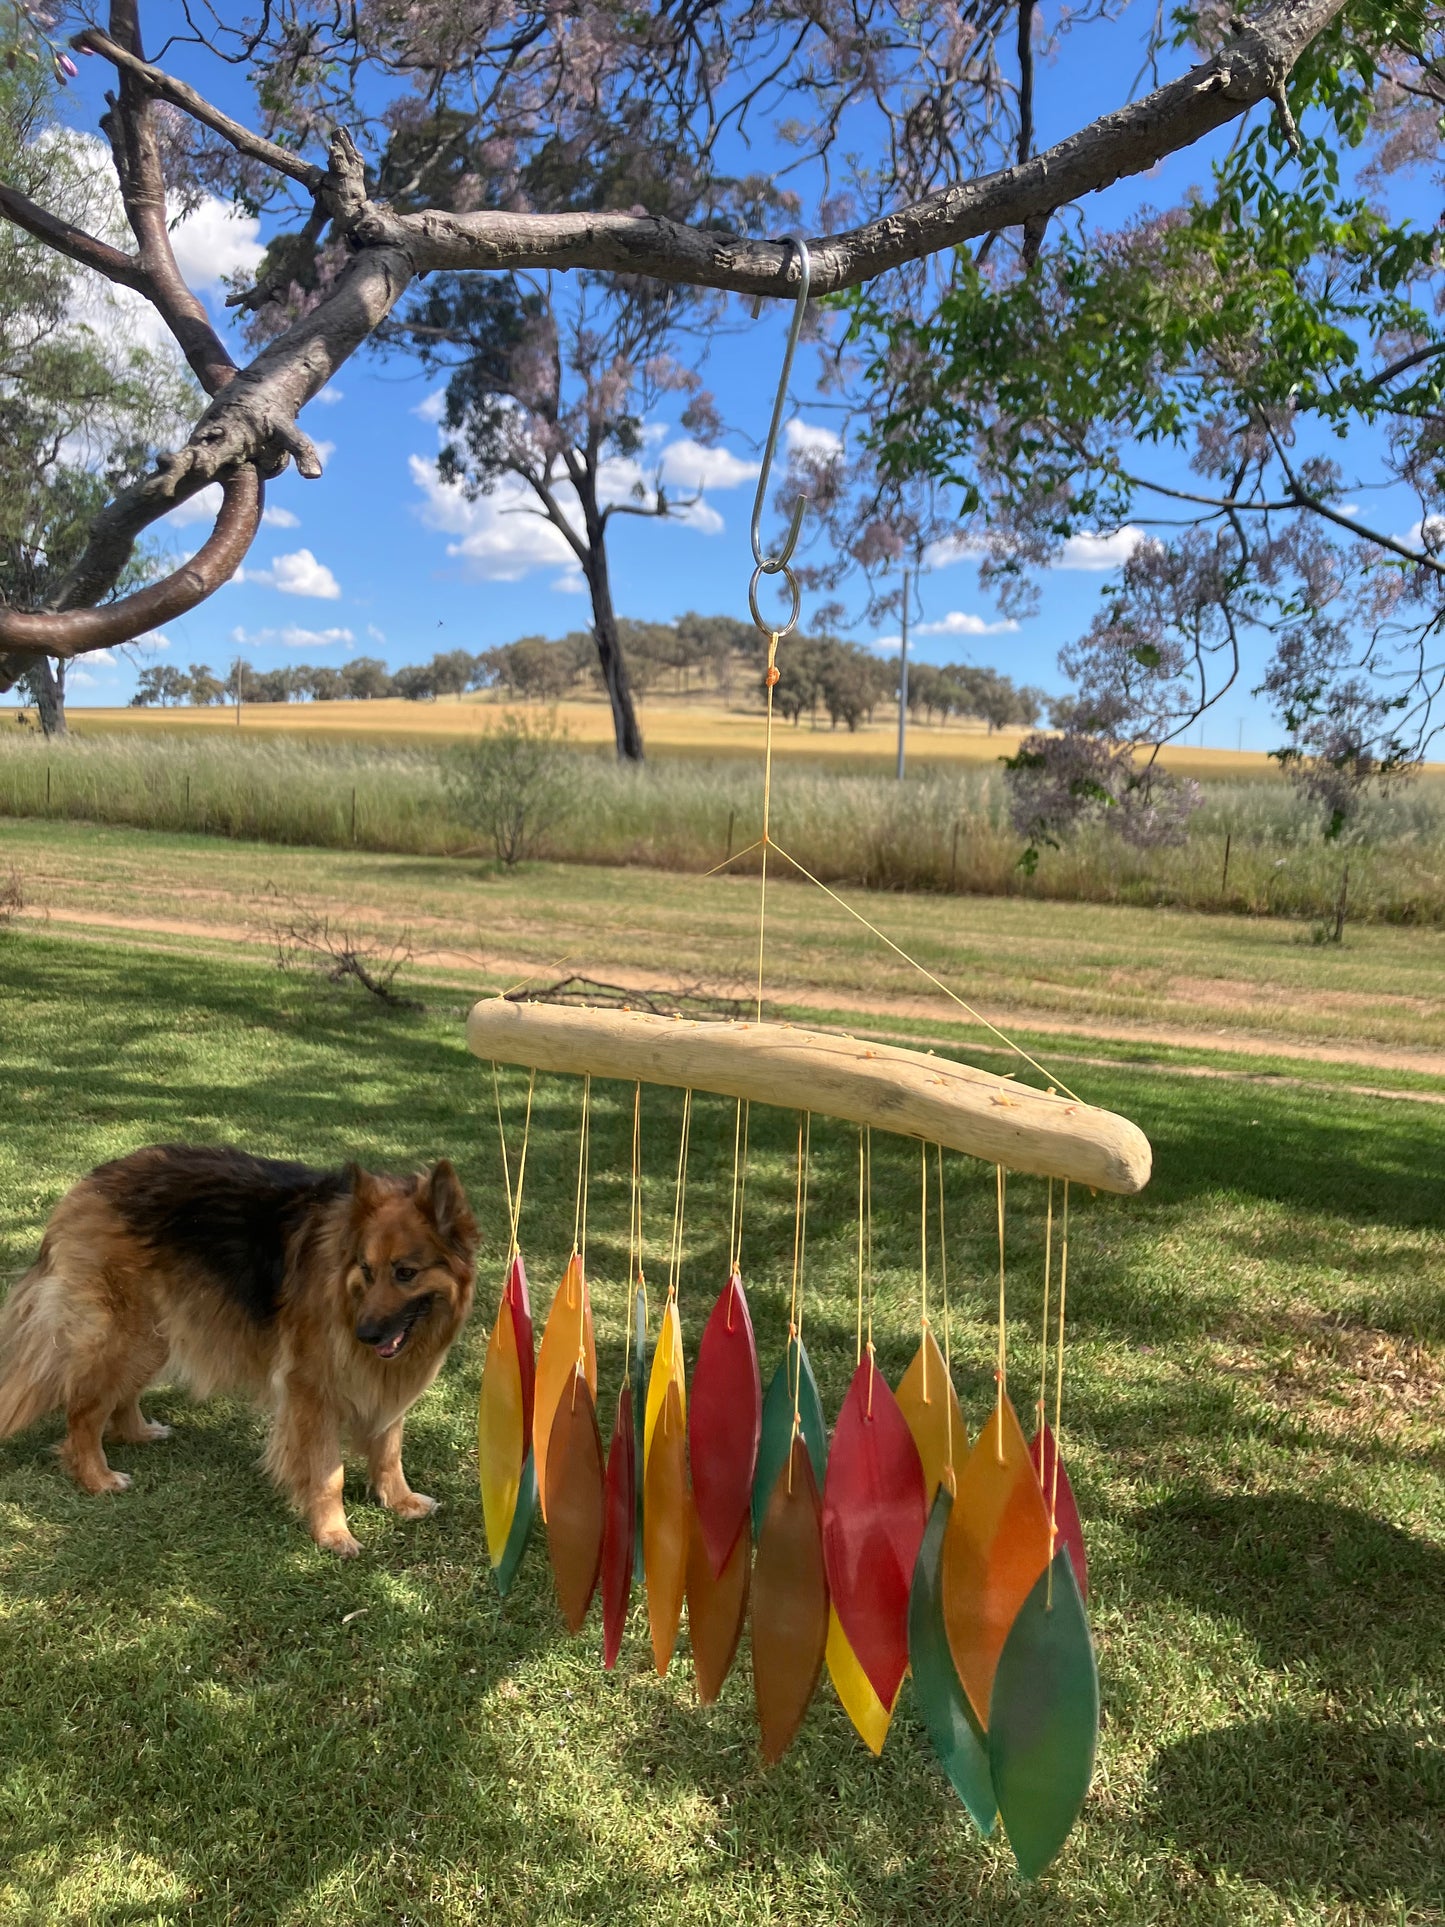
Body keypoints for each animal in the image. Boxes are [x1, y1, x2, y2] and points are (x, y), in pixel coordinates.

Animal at [0, 1140, 483, 1549]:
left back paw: (136, 1432)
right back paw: (96, 1477)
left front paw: (399, 1501)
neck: (343, 1285)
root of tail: (90, 1184)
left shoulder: (386, 1378)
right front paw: (332, 1533)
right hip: (126, 1336)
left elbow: (388, 1451)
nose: (364, 1335)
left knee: (119, 1396)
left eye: (406, 1273)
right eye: (365, 1269)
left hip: (155, 1335)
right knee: (83, 1409)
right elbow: (329, 1474)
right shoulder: (313, 1390)